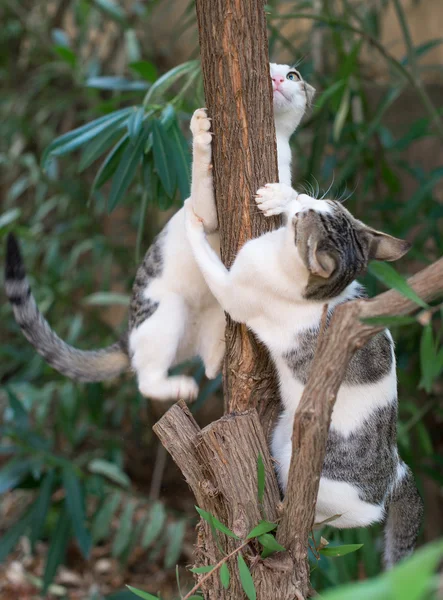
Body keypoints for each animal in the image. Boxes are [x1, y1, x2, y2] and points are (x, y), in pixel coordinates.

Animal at [4, 64, 316, 404]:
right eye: (268, 69)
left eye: (292, 75)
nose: (276, 79)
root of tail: (126, 340)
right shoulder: (204, 213)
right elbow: (201, 181)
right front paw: (200, 132)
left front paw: (280, 197)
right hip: (166, 311)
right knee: (147, 380)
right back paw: (180, 386)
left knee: (206, 364)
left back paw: (218, 351)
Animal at [186, 179, 424, 568]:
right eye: (326, 206)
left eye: (302, 223)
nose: (302, 202)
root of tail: (394, 473)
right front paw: (278, 196)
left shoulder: (234, 291)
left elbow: (207, 261)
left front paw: (191, 222)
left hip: (304, 474)